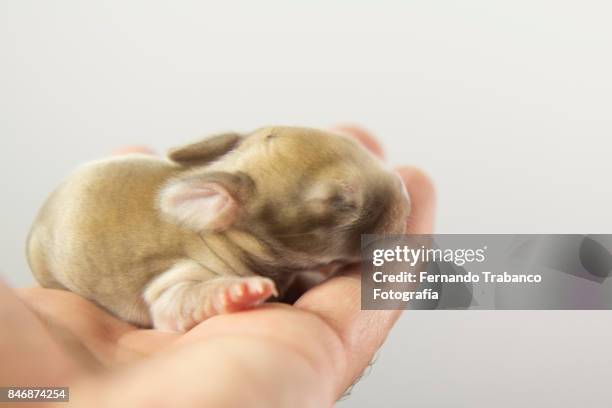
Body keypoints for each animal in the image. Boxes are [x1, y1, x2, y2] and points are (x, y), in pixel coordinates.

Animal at [28, 127, 412, 332]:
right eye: (341, 202)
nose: (406, 199)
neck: (228, 236)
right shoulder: (178, 278)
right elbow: (173, 302)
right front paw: (237, 292)